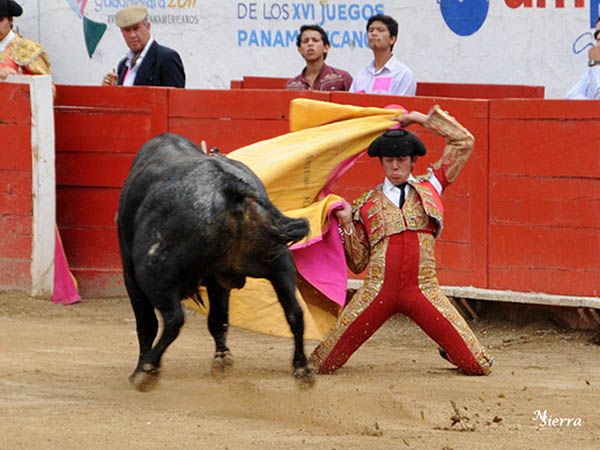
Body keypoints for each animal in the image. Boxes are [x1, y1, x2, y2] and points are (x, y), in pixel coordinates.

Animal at [117, 133, 315, 391]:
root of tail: (229, 186)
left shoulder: (130, 273)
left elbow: (146, 324)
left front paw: (142, 367)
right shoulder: (218, 278)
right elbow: (218, 320)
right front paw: (222, 360)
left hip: (151, 274)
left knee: (173, 319)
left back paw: (145, 371)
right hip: (278, 262)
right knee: (294, 312)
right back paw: (302, 369)